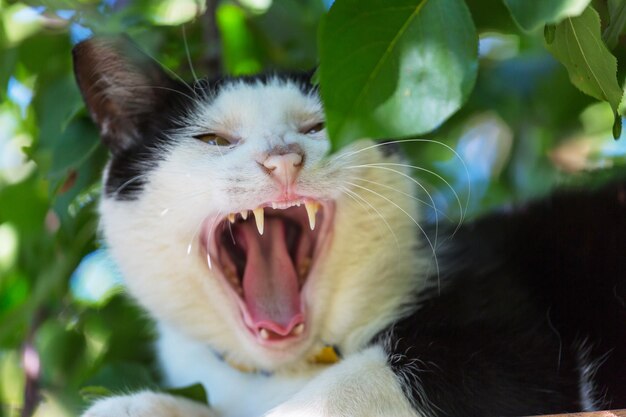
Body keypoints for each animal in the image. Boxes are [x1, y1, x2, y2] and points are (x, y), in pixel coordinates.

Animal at [72, 36, 624, 416]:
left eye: (319, 127)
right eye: (213, 139)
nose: (282, 158)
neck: (285, 370)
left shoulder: (511, 339)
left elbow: (353, 385)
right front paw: (131, 406)